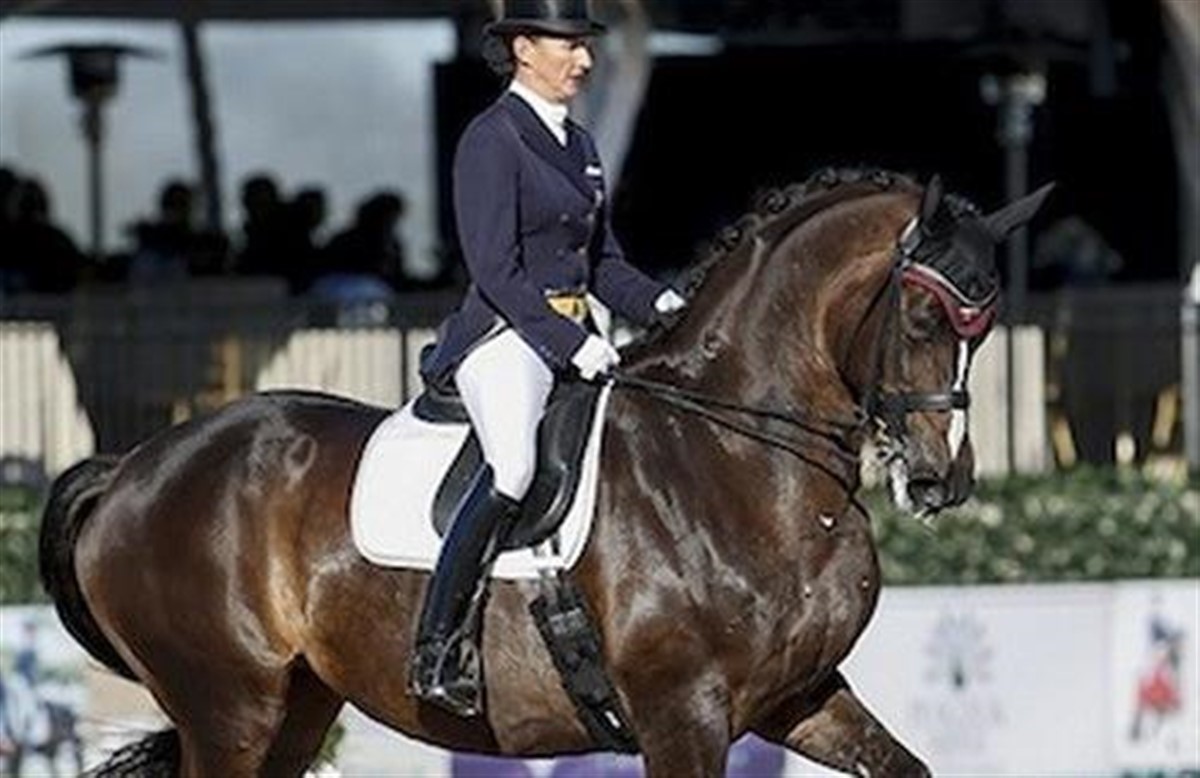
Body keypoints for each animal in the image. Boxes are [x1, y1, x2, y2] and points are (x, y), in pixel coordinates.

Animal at [38, 169, 1050, 777]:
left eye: (989, 324)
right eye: (924, 320)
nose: (940, 480)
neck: (741, 460)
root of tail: (133, 467)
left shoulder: (799, 695)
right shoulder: (684, 713)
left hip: (291, 706)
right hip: (229, 705)